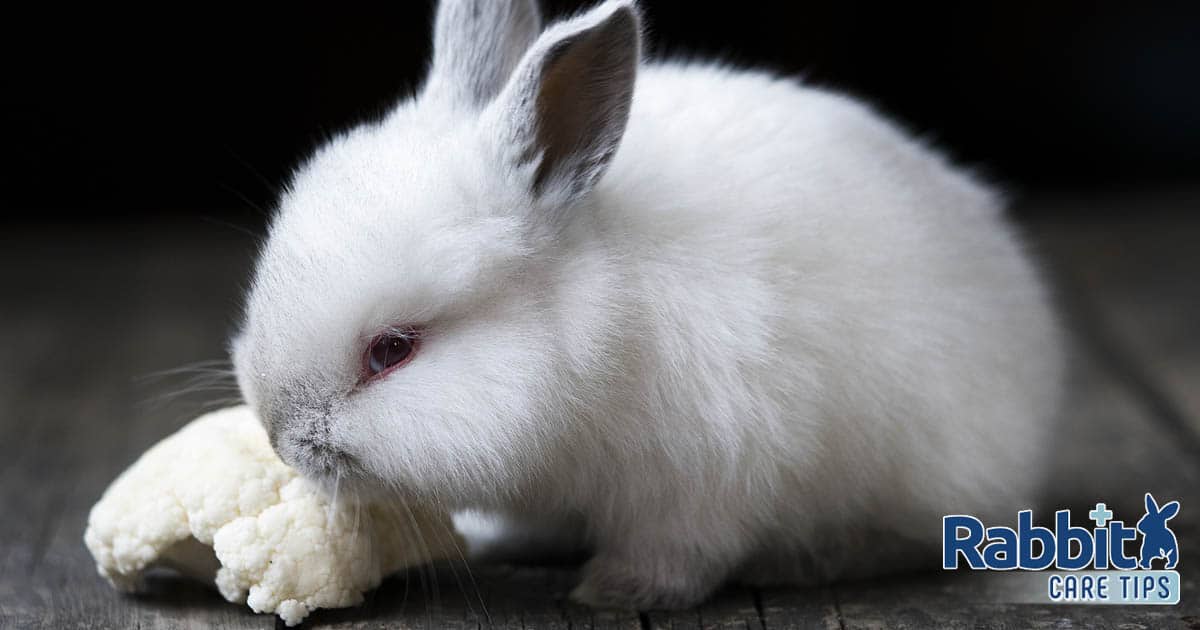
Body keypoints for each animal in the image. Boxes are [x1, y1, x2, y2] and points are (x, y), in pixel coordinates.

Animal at [229, 0, 1065, 609]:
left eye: (393, 350)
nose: (283, 441)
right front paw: (498, 540)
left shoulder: (709, 478)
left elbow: (678, 554)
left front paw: (614, 592)